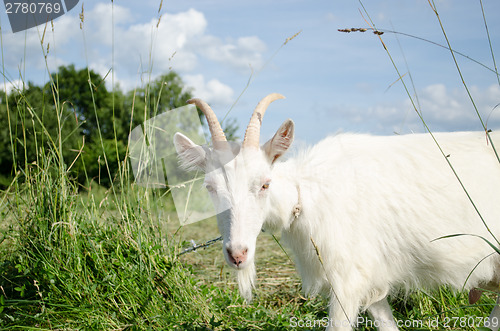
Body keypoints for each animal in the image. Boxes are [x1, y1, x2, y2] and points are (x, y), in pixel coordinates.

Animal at [175, 94, 500, 331]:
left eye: (265, 184)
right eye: (210, 187)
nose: (238, 254)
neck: (306, 192)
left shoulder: (347, 277)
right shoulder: (368, 275)